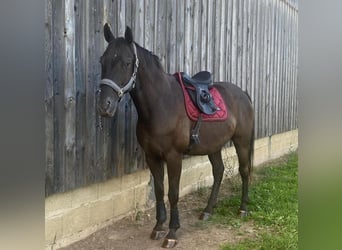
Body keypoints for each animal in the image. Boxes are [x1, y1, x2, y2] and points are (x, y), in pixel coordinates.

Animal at [97, 23, 254, 248]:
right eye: (102, 61)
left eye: (127, 62)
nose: (104, 106)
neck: (161, 104)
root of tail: (243, 93)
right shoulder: (152, 157)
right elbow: (159, 190)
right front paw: (158, 227)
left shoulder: (173, 157)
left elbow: (173, 193)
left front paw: (172, 232)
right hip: (213, 146)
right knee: (218, 172)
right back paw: (207, 211)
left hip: (242, 142)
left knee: (244, 170)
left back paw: (242, 209)